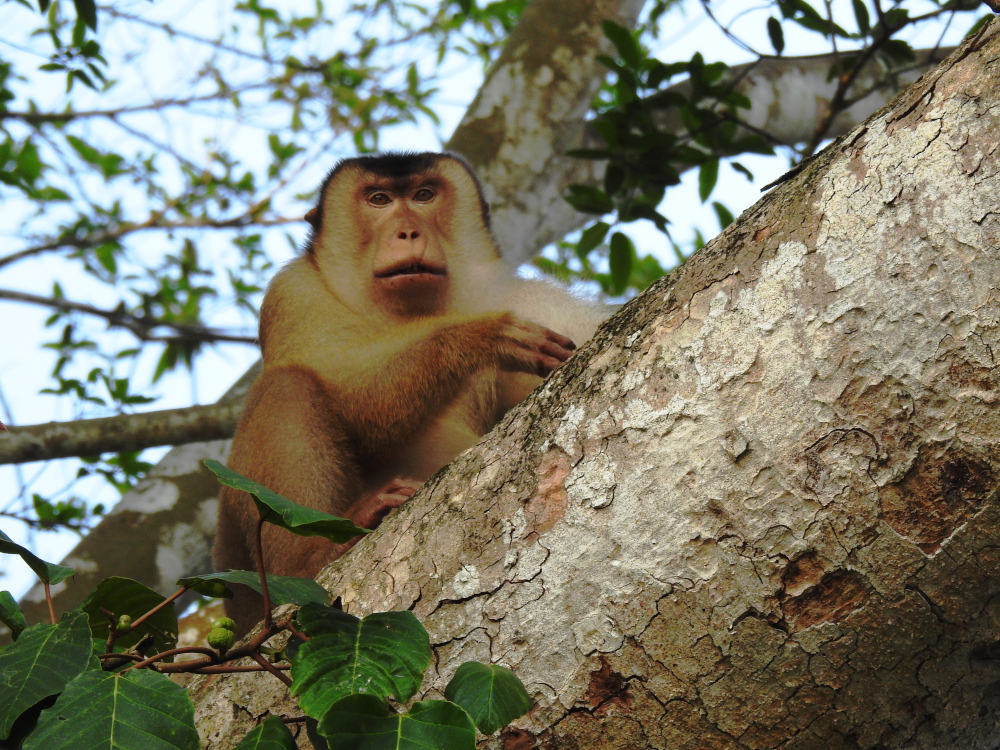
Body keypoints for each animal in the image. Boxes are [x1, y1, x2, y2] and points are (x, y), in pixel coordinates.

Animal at [214, 153, 604, 636]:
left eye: (423, 195)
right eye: (379, 199)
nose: (408, 232)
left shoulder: (530, 299)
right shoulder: (292, 291)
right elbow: (343, 388)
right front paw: (478, 337)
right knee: (287, 385)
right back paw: (311, 557)